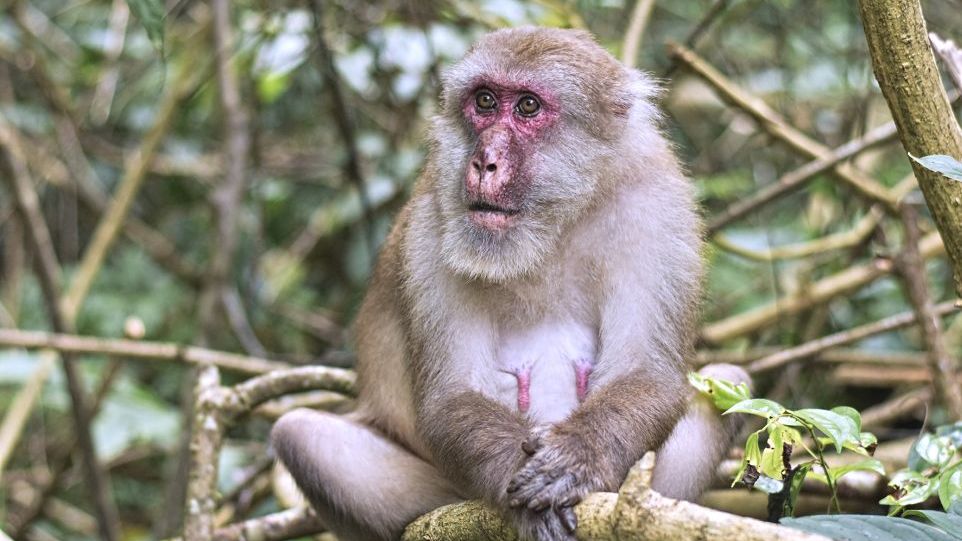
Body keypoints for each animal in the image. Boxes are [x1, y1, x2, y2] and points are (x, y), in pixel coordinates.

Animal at [271, 27, 749, 541]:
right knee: (300, 434)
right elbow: (454, 395)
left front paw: (576, 459)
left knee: (730, 380)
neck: (552, 226)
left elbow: (646, 372)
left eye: (527, 107)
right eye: (484, 100)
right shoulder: (431, 227)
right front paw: (525, 492)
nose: (485, 162)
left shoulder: (659, 207)